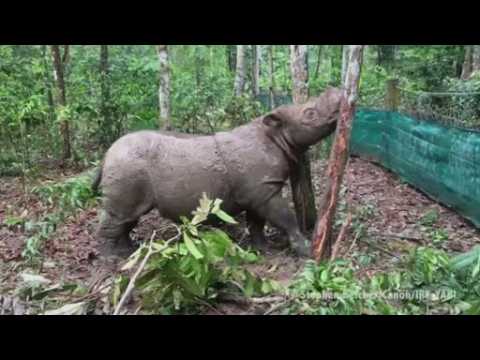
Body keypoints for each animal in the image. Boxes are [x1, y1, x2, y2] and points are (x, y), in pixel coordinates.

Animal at [92, 87, 344, 258]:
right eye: (310, 113)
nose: (338, 92)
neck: (276, 135)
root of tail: (106, 155)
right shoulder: (264, 190)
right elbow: (285, 217)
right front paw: (305, 250)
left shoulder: (259, 190)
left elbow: (257, 222)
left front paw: (262, 248)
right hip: (127, 165)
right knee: (121, 214)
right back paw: (112, 258)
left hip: (127, 166)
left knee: (128, 216)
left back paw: (128, 251)